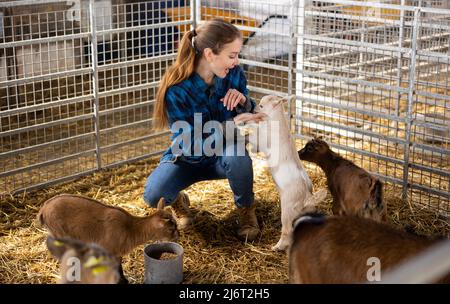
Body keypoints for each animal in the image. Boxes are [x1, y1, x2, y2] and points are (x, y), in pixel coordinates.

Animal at [38, 195, 179, 282]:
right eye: (171, 229)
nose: (178, 235)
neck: (130, 228)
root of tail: (43, 209)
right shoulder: (108, 249)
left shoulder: (117, 253)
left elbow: (119, 267)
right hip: (59, 233)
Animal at [239, 95, 326, 252]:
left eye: (261, 106)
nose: (254, 109)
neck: (276, 118)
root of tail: (308, 198)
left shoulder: (262, 138)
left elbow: (255, 130)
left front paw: (245, 123)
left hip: (287, 213)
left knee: (287, 231)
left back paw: (276, 247)